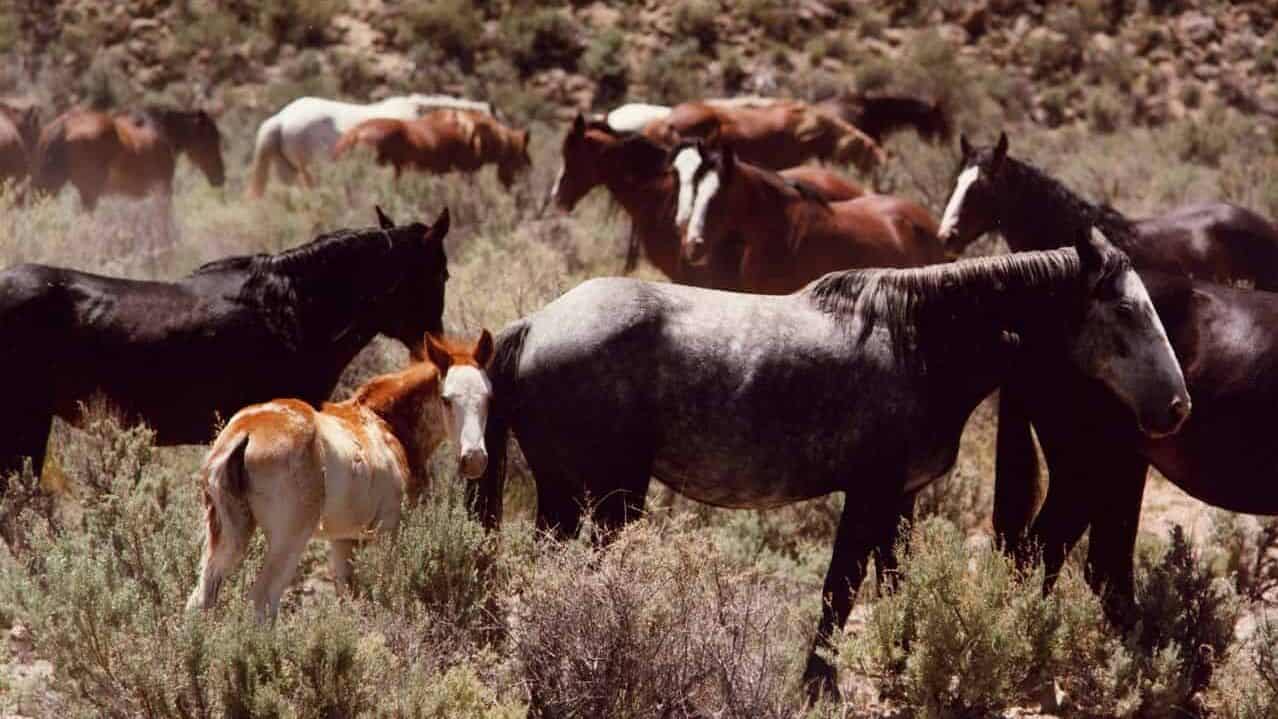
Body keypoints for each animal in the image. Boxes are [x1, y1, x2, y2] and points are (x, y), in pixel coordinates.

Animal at [30, 107, 225, 211]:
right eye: (211, 137)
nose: (220, 177)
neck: (161, 131)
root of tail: (63, 126)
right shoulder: (162, 192)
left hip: (51, 188)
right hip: (88, 193)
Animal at [187, 330, 493, 619]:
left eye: (488, 397)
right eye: (446, 399)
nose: (474, 460)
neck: (385, 423)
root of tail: (245, 432)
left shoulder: (343, 541)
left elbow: (348, 598)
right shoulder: (388, 530)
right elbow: (385, 593)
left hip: (228, 535)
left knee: (200, 598)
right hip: (289, 539)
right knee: (262, 601)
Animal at [470, 228, 1189, 696]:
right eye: (1127, 308)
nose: (1176, 407)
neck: (920, 339)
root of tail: (533, 325)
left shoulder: (900, 499)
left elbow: (891, 583)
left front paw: (901, 660)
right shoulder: (868, 494)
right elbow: (840, 590)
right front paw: (820, 684)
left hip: (567, 496)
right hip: (606, 498)